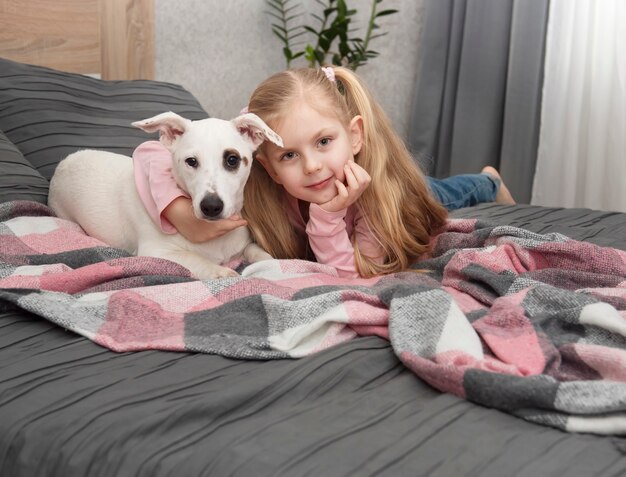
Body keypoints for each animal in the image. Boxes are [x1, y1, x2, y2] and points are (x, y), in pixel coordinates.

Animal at [47, 109, 282, 278]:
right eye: (191, 161)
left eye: (232, 160)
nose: (211, 206)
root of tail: (66, 160)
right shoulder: (157, 253)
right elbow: (197, 260)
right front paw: (221, 272)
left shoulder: (243, 246)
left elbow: (259, 252)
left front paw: (273, 261)